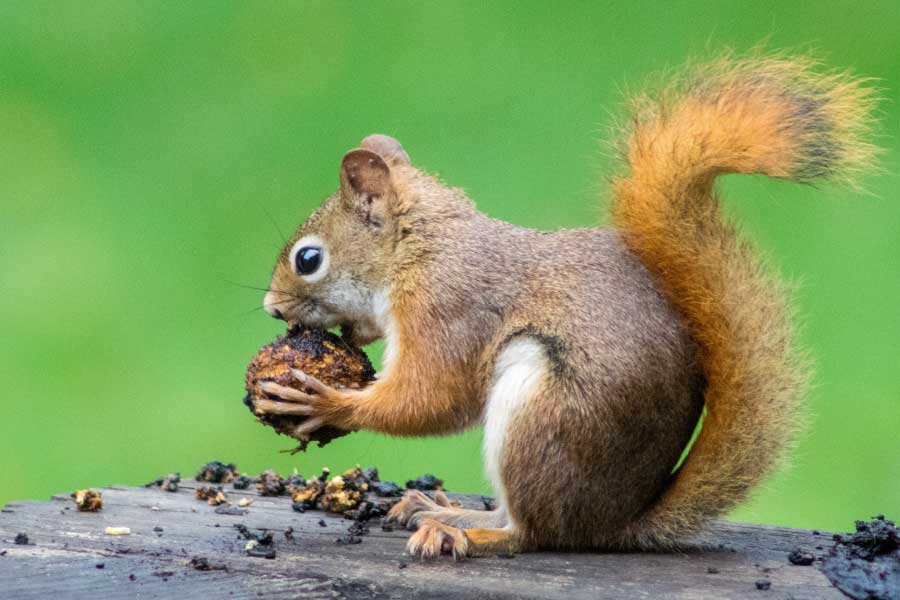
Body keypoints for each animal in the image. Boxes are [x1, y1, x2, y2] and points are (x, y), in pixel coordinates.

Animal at [253, 55, 880, 556]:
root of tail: (612, 524)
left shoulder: (449, 308)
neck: (421, 249)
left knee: (532, 533)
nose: (272, 308)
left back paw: (465, 530)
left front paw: (326, 401)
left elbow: (433, 397)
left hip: (540, 414)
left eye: (309, 259)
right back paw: (440, 508)